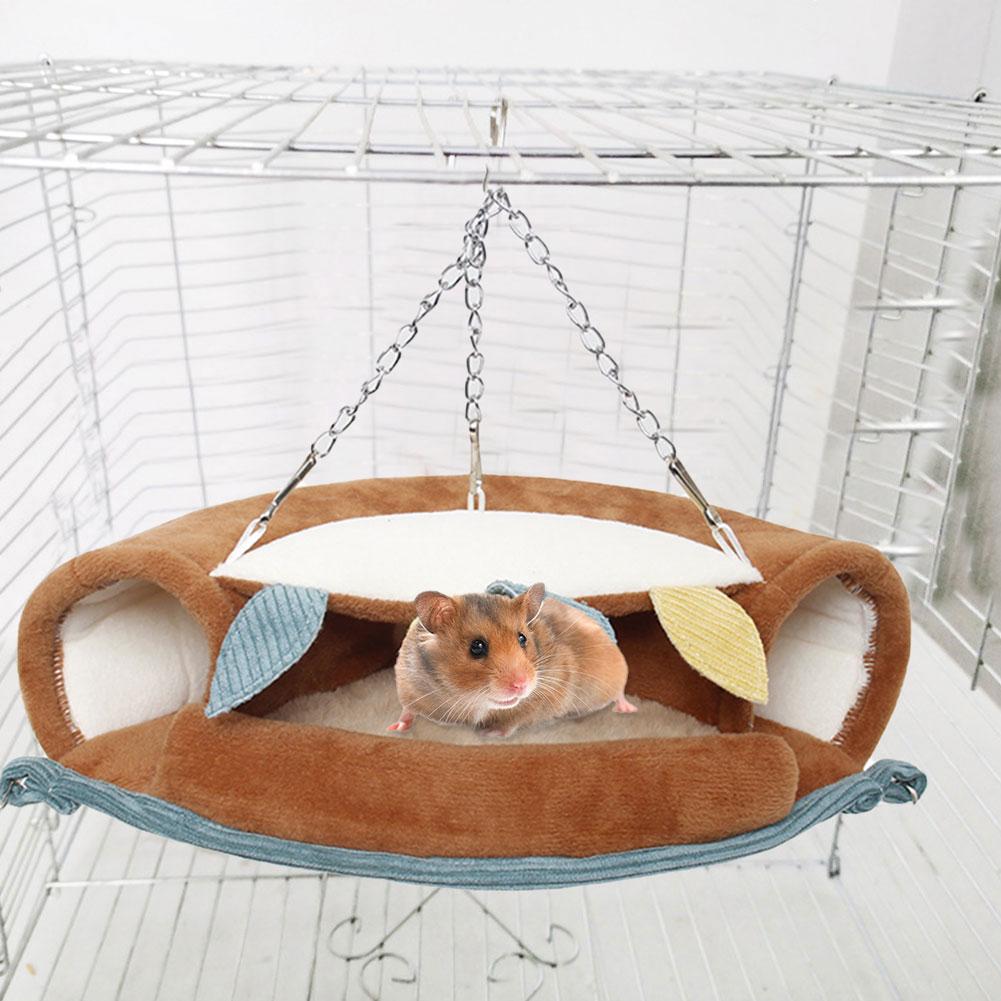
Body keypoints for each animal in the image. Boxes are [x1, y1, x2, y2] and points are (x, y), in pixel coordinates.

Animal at [389, 582, 636, 737]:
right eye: (476, 647)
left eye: (522, 638)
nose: (521, 685)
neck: (471, 699)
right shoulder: (407, 685)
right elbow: (407, 710)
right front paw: (395, 728)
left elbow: (514, 720)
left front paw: (490, 733)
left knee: (619, 693)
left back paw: (628, 710)